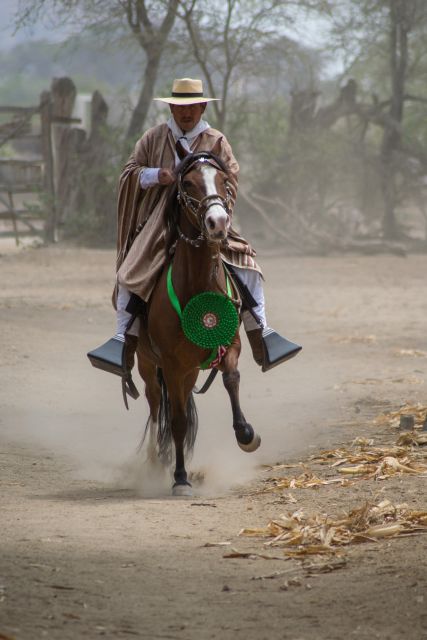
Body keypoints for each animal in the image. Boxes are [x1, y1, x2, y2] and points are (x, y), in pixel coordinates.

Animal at [136, 140, 260, 498]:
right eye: (188, 183)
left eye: (224, 181)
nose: (217, 222)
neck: (195, 287)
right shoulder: (172, 365)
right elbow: (177, 421)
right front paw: (180, 477)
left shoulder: (229, 345)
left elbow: (231, 379)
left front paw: (246, 434)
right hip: (149, 365)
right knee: (156, 404)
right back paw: (156, 461)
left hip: (189, 371)